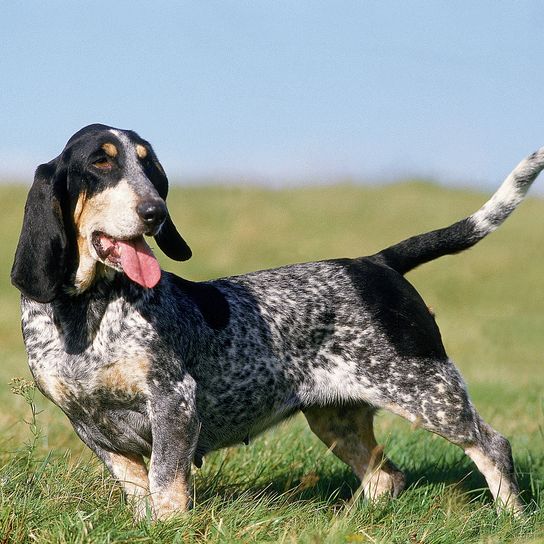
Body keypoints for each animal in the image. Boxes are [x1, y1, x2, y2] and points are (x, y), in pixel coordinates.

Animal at [10, 123, 540, 520]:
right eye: (100, 163)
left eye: (150, 166)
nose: (155, 212)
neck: (87, 311)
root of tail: (377, 262)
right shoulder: (91, 426)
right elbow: (140, 491)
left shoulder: (174, 402)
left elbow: (166, 485)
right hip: (336, 415)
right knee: (384, 476)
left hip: (428, 393)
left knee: (493, 446)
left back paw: (512, 519)